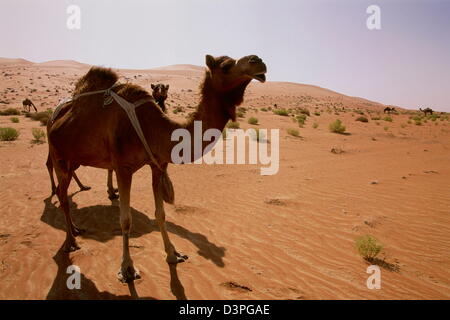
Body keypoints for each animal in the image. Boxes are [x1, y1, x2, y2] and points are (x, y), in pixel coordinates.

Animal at [48, 55, 268, 282]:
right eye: (225, 66)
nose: (258, 60)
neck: (154, 128)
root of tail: (54, 118)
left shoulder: (157, 165)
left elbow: (160, 213)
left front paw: (173, 254)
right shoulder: (123, 168)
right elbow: (125, 220)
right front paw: (127, 268)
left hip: (73, 159)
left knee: (65, 193)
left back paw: (76, 229)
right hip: (59, 157)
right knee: (63, 195)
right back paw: (70, 242)